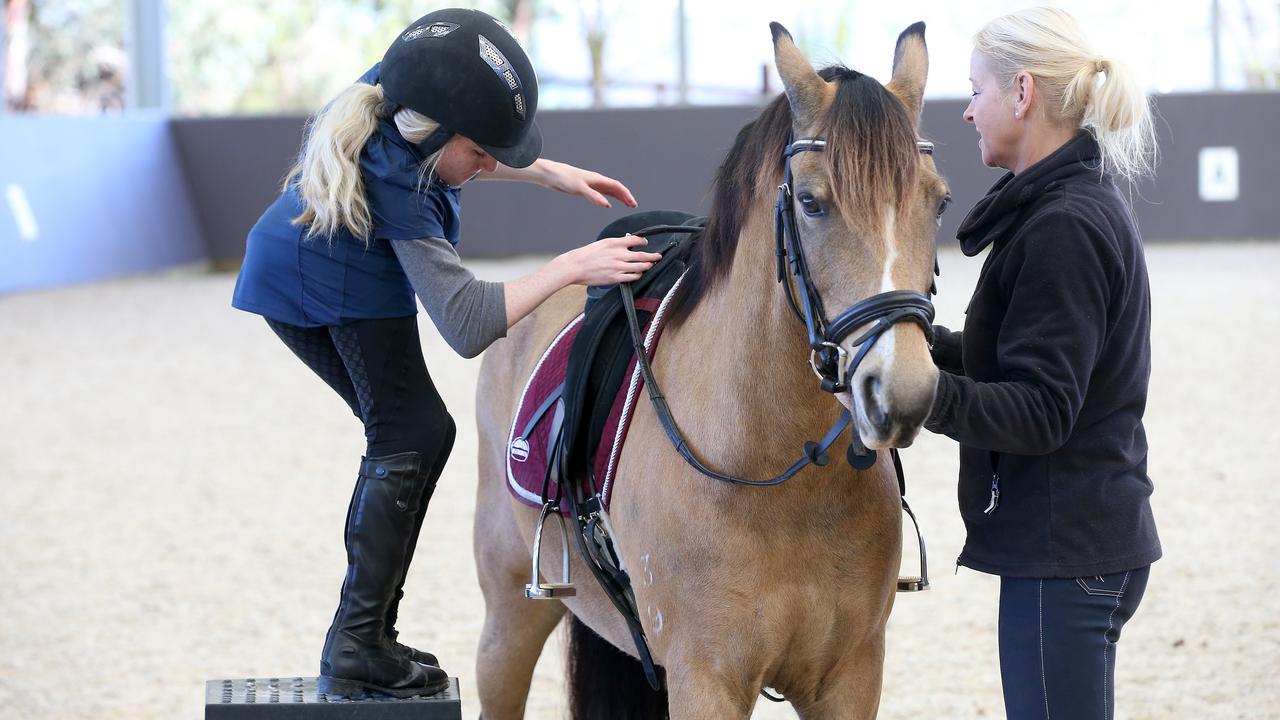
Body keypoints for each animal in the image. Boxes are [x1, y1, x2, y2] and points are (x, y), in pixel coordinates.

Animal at [473, 22, 952, 717]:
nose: (903, 391)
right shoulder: (706, 679)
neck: (778, 477)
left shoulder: (851, 677)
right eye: (812, 203)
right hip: (510, 612)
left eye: (939, 204)